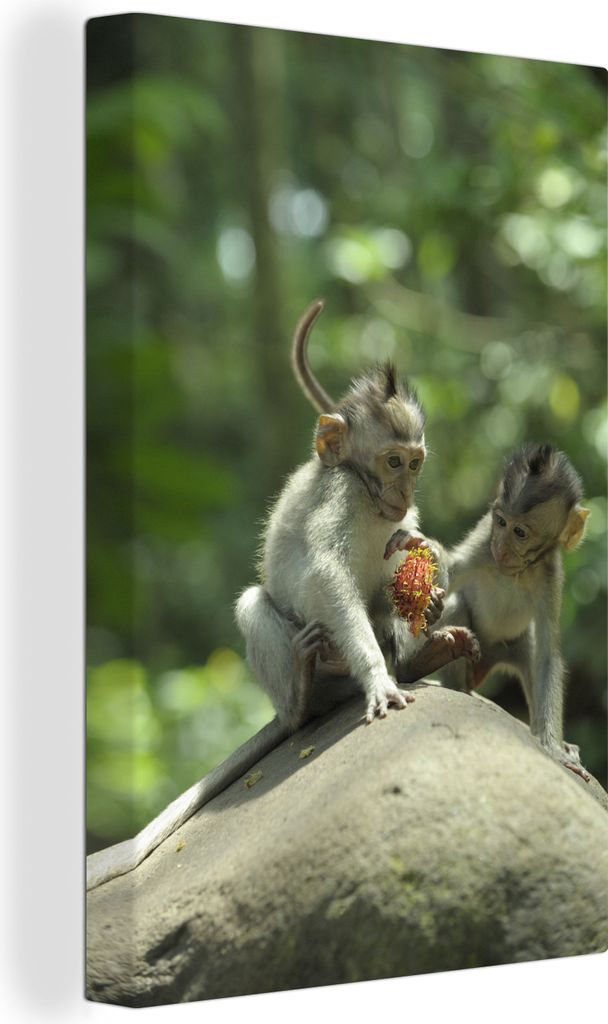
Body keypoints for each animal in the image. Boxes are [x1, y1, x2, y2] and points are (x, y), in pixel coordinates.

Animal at [384, 443, 591, 780]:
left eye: (520, 532)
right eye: (501, 522)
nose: (502, 548)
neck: (515, 571)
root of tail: (486, 663)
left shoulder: (551, 574)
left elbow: (548, 656)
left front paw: (554, 749)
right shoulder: (485, 539)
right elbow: (452, 573)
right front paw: (426, 547)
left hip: (512, 646)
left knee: (532, 654)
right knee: (457, 609)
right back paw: (434, 665)